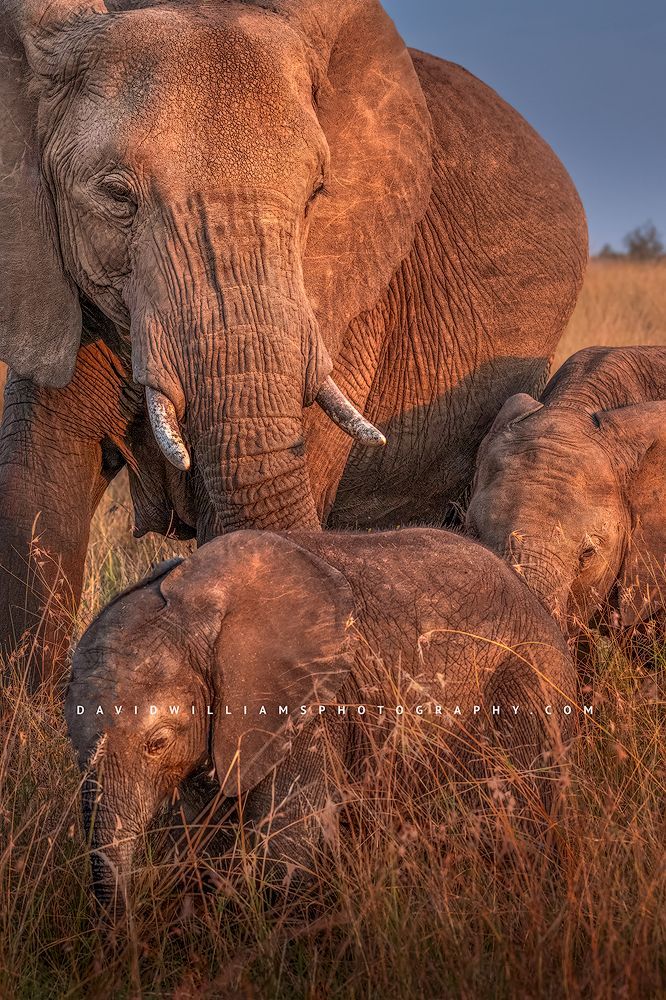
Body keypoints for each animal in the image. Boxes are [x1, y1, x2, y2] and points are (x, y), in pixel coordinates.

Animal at [66, 527, 577, 913]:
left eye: (157, 742)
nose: (125, 926)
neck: (198, 610)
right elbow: (199, 839)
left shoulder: (309, 711)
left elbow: (288, 847)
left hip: (526, 678)